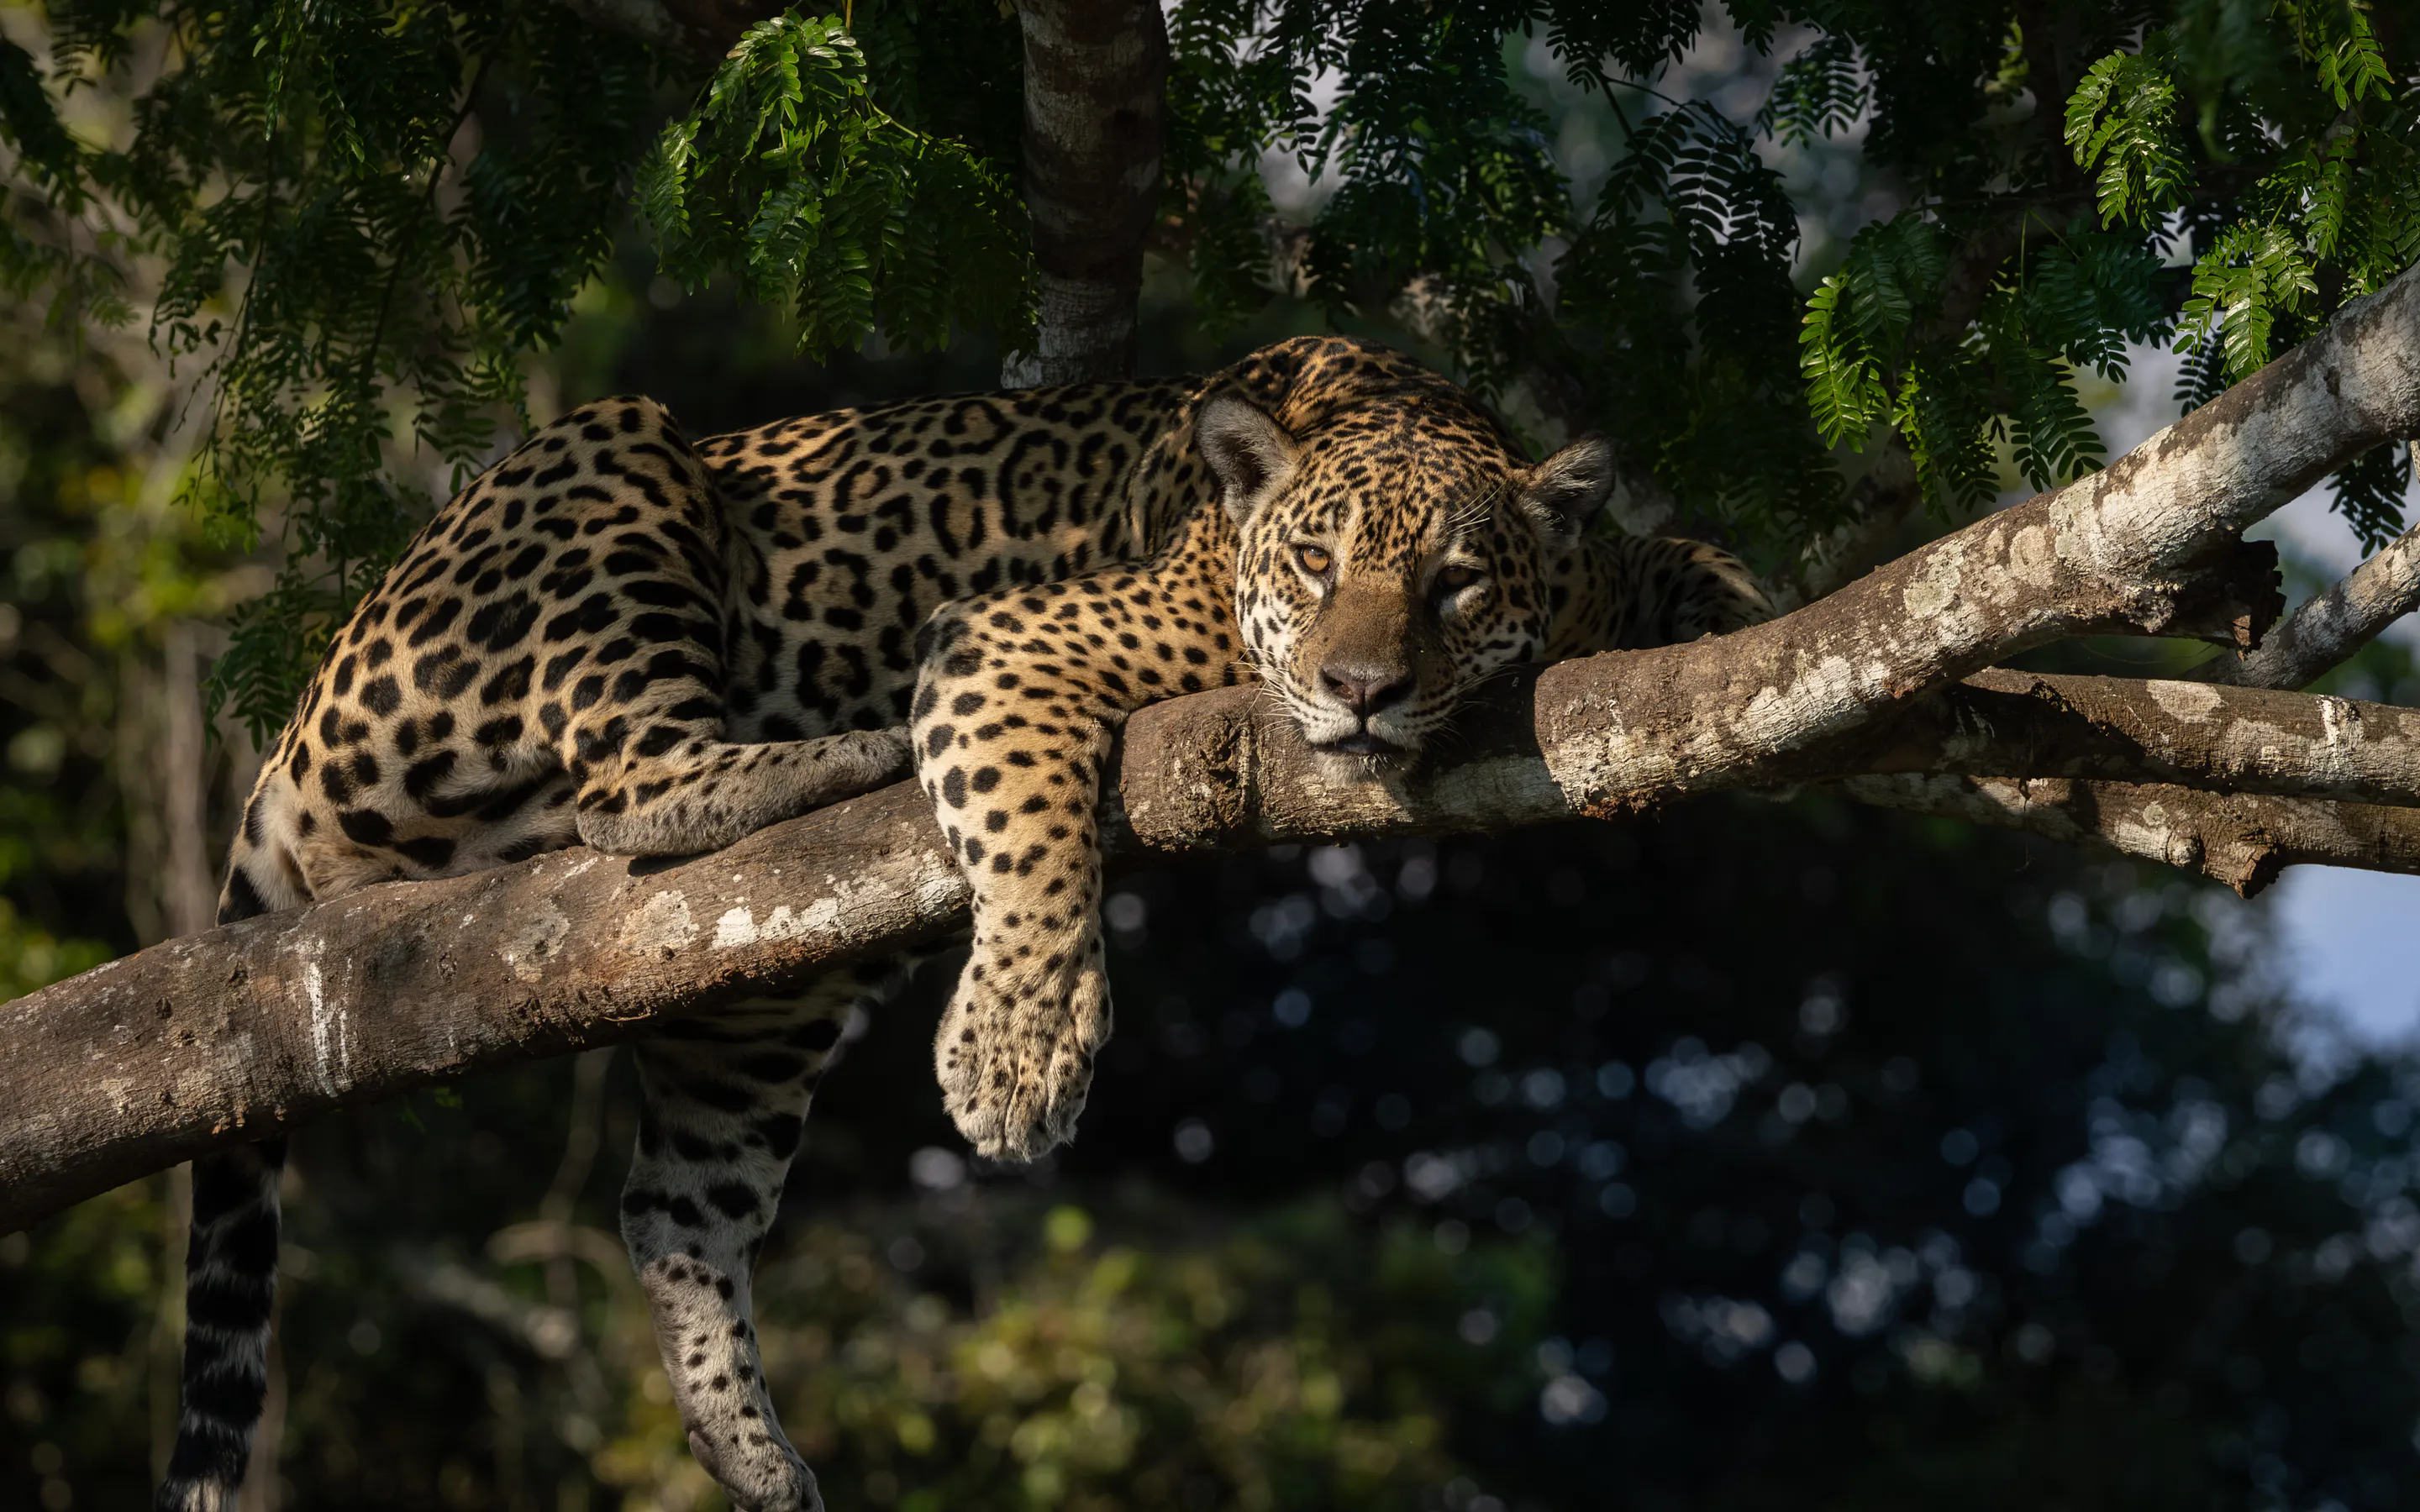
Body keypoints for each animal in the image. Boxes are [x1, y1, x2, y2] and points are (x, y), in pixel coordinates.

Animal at [160, 334, 1767, 1512]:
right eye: (1315, 569)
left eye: (1455, 582)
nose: (1360, 690)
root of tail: (298, 718)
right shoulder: (1015, 640)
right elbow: (1033, 834)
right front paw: (1019, 1049)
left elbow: (1690, 566)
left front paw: (1731, 606)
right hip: (608, 466)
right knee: (630, 779)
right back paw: (830, 756)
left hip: (766, 997)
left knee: (675, 1203)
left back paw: (751, 1453)